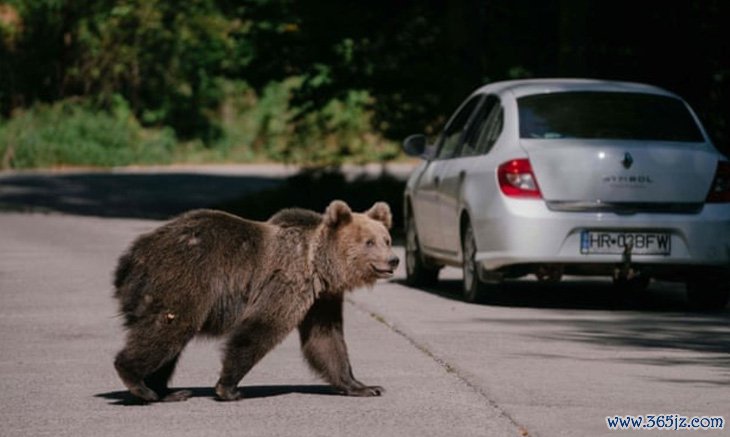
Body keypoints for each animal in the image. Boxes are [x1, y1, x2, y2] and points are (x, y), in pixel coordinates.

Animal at [112, 199, 398, 400]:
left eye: (386, 239)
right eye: (369, 242)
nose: (393, 260)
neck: (318, 266)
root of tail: (131, 257)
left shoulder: (321, 299)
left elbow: (325, 339)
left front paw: (364, 386)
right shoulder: (287, 282)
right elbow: (262, 327)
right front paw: (228, 388)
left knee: (169, 340)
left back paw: (167, 391)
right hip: (184, 278)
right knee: (169, 329)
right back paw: (139, 383)